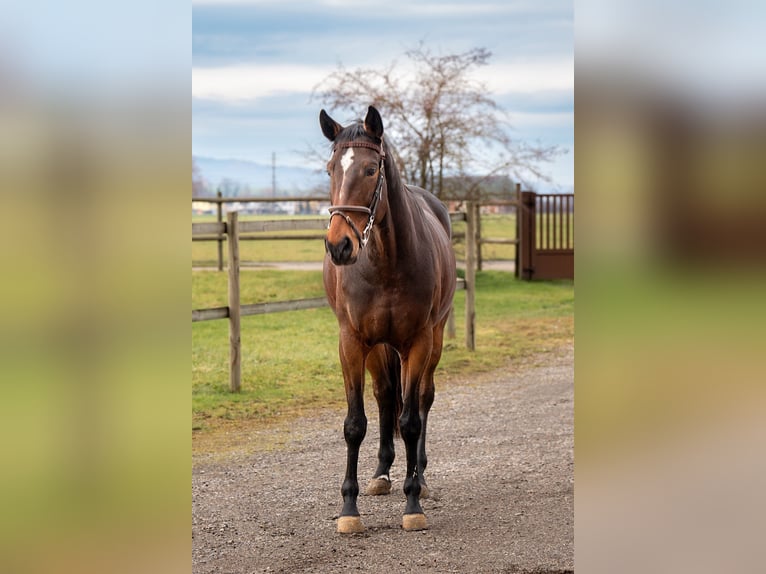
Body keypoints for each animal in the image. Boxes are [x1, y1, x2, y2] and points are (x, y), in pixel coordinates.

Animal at [319, 105, 456, 533]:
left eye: (369, 170)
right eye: (330, 169)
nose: (339, 246)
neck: (386, 262)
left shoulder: (418, 342)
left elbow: (411, 421)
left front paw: (413, 504)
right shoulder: (351, 343)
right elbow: (355, 423)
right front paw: (349, 510)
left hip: (434, 340)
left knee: (423, 401)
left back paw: (420, 477)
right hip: (379, 348)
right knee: (383, 397)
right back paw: (381, 474)